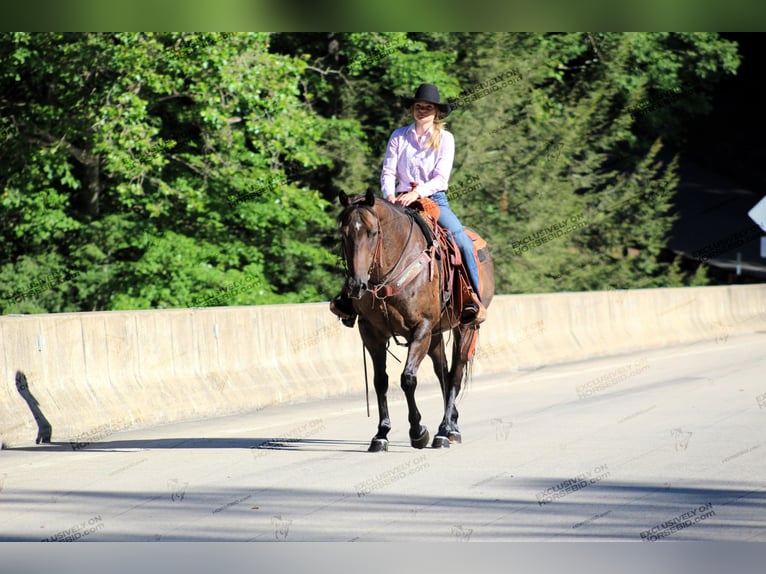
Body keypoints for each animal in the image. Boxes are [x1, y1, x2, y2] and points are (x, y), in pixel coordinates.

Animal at [338, 191, 496, 452]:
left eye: (373, 232)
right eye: (343, 233)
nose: (356, 286)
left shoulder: (421, 328)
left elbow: (408, 379)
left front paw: (418, 432)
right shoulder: (370, 332)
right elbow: (380, 381)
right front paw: (381, 434)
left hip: (466, 327)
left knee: (455, 375)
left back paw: (444, 432)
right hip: (436, 335)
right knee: (443, 372)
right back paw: (452, 425)